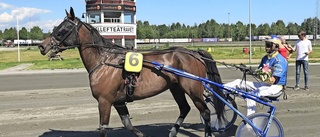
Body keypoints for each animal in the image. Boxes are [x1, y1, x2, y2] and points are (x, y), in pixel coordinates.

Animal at [38, 7, 225, 137]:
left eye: (62, 29)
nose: (41, 46)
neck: (104, 61)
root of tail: (193, 53)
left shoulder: (104, 101)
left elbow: (103, 129)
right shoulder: (118, 102)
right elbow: (127, 124)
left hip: (193, 89)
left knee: (205, 112)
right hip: (176, 87)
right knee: (185, 108)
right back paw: (172, 132)